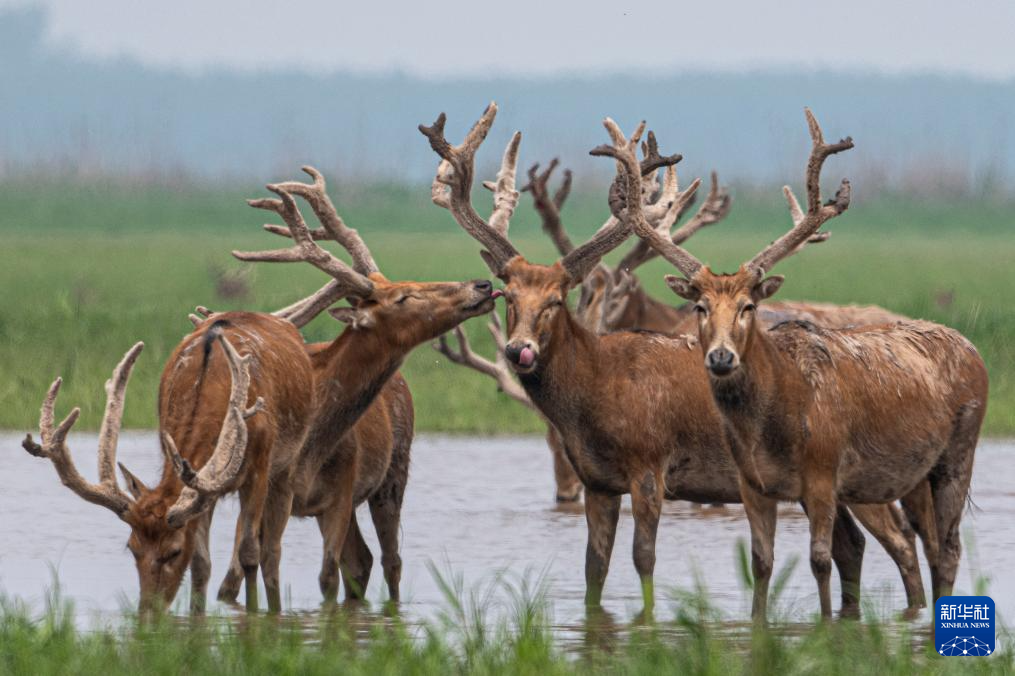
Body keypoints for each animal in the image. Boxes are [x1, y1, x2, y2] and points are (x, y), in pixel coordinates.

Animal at [23, 313, 313, 615]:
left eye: (173, 551)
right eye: (131, 547)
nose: (147, 614)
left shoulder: (259, 466)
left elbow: (249, 553)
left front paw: (255, 618)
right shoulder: (198, 485)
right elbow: (201, 564)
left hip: (287, 467)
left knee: (272, 553)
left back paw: (276, 610)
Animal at [202, 165, 500, 608]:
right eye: (403, 296)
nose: (481, 285)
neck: (312, 442)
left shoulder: (341, 490)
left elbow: (328, 575)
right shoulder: (269, 490)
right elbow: (233, 580)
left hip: (393, 473)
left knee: (385, 560)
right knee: (365, 561)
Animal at [421, 102, 934, 618]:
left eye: (556, 300)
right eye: (507, 295)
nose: (519, 349)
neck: (595, 395)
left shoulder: (650, 465)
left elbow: (643, 558)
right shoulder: (598, 481)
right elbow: (594, 568)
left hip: (859, 474)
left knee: (902, 541)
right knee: (855, 545)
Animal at [628, 107, 988, 620]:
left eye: (748, 306)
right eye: (699, 307)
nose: (721, 356)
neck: (775, 423)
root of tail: (973, 349)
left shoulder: (822, 472)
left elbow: (819, 560)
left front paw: (825, 624)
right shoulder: (753, 484)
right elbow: (761, 562)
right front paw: (760, 623)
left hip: (960, 450)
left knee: (949, 547)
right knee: (920, 545)